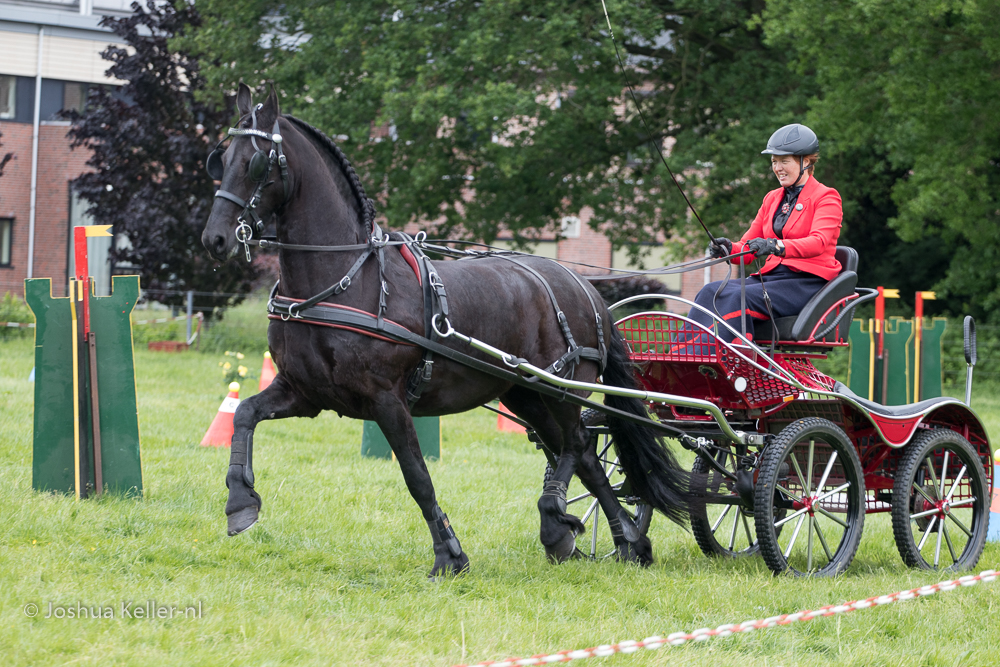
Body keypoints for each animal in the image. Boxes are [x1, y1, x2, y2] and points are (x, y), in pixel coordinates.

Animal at [199, 83, 692, 576]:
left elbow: (417, 476)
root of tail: (585, 288)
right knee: (587, 457)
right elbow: (244, 414)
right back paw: (628, 541)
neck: (346, 278)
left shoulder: (387, 400)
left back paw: (558, 520)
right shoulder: (306, 392)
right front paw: (240, 501)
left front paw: (449, 555)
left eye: (256, 161)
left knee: (577, 442)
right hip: (524, 394)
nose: (214, 239)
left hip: (563, 388)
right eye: (219, 160)